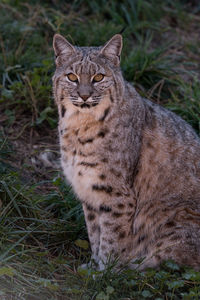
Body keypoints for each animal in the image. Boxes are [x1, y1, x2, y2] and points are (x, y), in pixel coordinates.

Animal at [52, 33, 200, 272]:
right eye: (72, 77)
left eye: (99, 77)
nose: (84, 96)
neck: (80, 124)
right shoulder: (89, 189)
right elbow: (95, 232)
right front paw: (94, 265)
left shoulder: (117, 194)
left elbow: (112, 237)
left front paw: (106, 272)